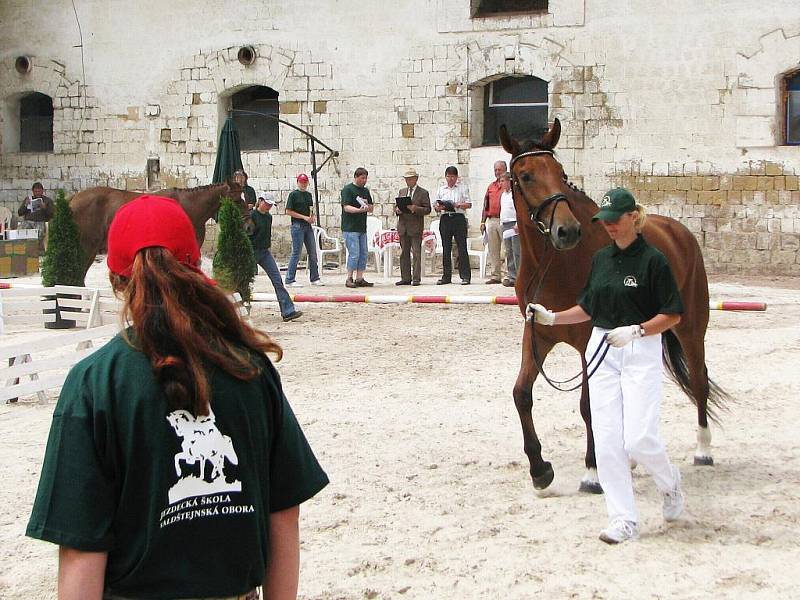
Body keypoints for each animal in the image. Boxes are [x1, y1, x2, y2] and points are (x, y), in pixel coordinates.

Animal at [504, 119, 728, 494]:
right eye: (525, 176)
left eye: (561, 173)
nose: (567, 231)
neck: (556, 264)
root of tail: (679, 231)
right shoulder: (538, 334)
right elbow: (522, 393)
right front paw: (539, 470)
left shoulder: (588, 340)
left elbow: (588, 405)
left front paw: (593, 471)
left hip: (691, 328)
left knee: (699, 380)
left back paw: (704, 450)